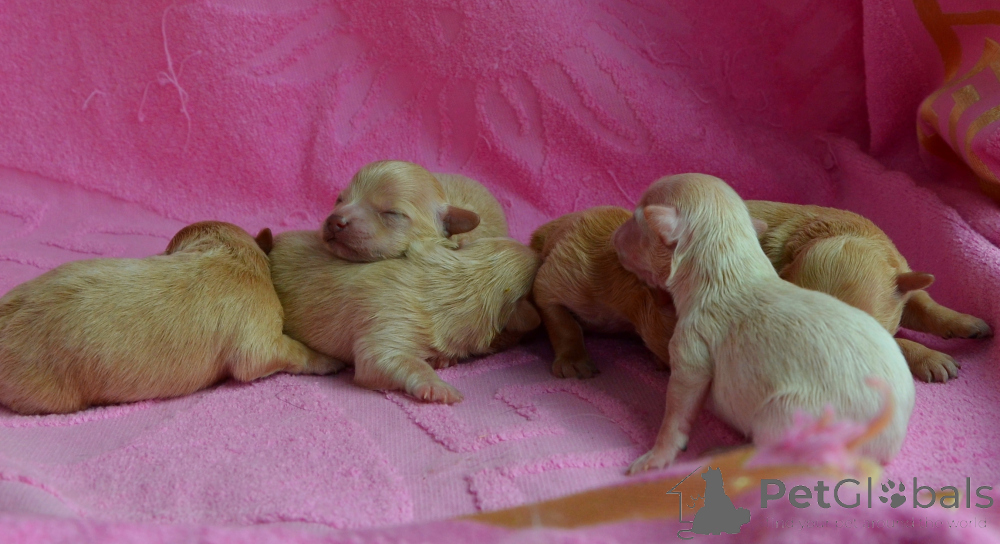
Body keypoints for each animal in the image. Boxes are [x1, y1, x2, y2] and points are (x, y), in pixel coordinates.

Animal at [612, 174, 914, 473]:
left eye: (637, 220)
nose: (613, 237)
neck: (726, 261)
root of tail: (889, 444)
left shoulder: (692, 350)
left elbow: (678, 408)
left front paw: (654, 457)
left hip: (787, 414)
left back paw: (724, 452)